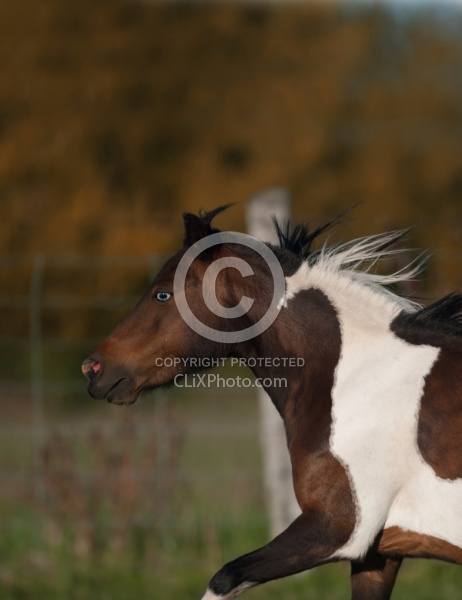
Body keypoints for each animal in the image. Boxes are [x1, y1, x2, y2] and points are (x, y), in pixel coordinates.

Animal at [82, 205, 462, 596]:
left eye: (161, 295)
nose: (93, 368)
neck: (360, 378)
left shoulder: (338, 530)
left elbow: (224, 577)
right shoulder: (377, 557)